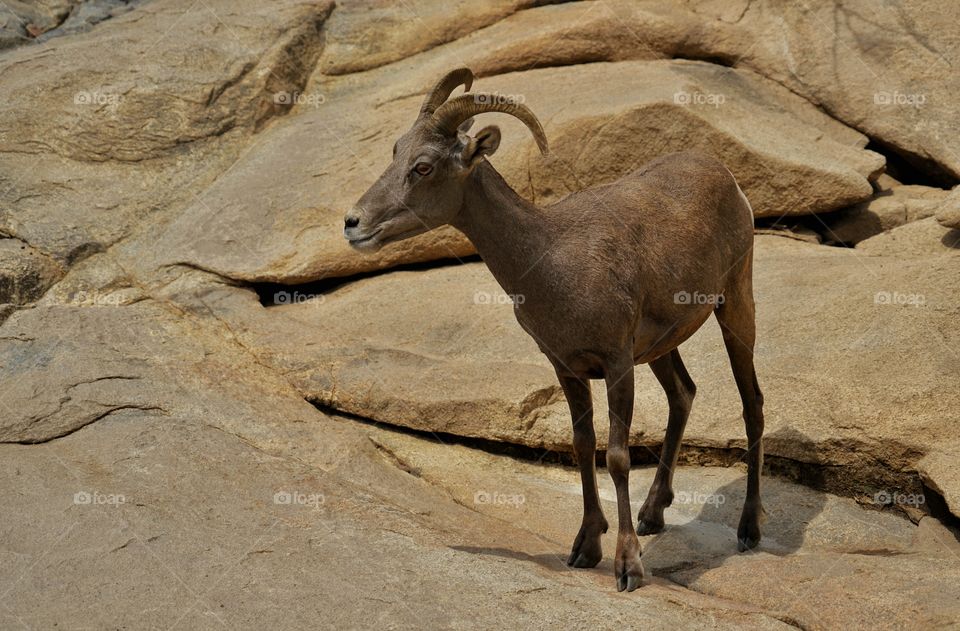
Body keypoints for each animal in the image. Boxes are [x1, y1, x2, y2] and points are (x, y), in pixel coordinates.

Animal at [344, 69, 764, 592]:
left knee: (752, 405)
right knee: (683, 394)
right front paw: (585, 548)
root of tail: (725, 177)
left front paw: (628, 567)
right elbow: (583, 447)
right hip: (661, 345)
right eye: (396, 150)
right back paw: (652, 515)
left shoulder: (617, 364)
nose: (353, 223)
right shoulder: (567, 367)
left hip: (735, 303)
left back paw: (749, 530)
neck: (553, 261)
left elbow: (617, 456)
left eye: (422, 166)